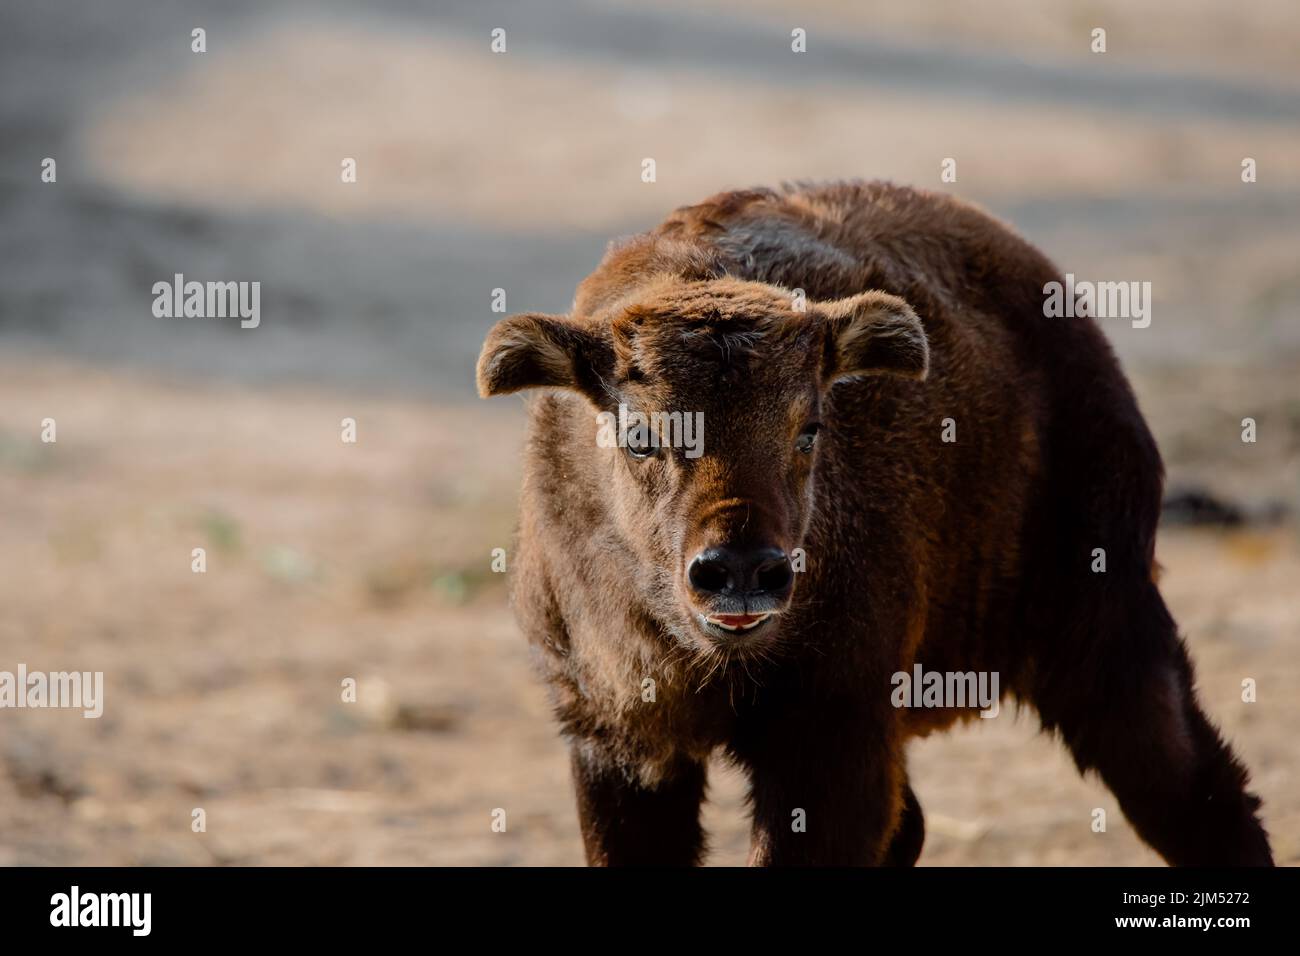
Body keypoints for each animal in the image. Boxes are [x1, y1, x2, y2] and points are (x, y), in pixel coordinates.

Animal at [475, 179, 1268, 868]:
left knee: (1204, 802)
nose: (741, 571)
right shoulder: (614, 742)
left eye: (810, 427)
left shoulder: (834, 736)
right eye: (640, 434)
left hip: (1109, 638)